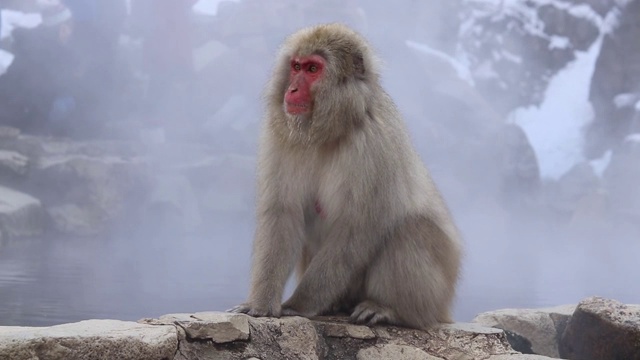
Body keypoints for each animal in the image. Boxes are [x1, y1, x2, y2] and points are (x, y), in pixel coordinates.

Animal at [232, 23, 462, 330]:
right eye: (296, 66)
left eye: (313, 69)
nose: (291, 89)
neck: (331, 131)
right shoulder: (281, 134)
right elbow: (282, 212)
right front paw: (261, 303)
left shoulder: (374, 141)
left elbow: (358, 226)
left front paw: (298, 304)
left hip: (434, 297)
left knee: (411, 228)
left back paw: (390, 309)